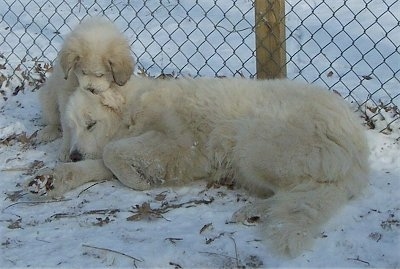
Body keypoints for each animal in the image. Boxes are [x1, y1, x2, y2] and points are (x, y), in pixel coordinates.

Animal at [29, 76, 370, 256]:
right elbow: (102, 162)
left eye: (91, 124)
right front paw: (53, 179)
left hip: (251, 144)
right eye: (71, 127)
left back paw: (254, 210)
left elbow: (113, 155)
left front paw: (140, 180)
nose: (73, 154)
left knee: (307, 190)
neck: (133, 112)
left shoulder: (180, 148)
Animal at [36, 16, 133, 161]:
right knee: (53, 119)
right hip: (48, 96)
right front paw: (66, 150)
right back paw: (49, 131)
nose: (90, 89)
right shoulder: (66, 95)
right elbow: (67, 126)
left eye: (100, 74)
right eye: (83, 72)